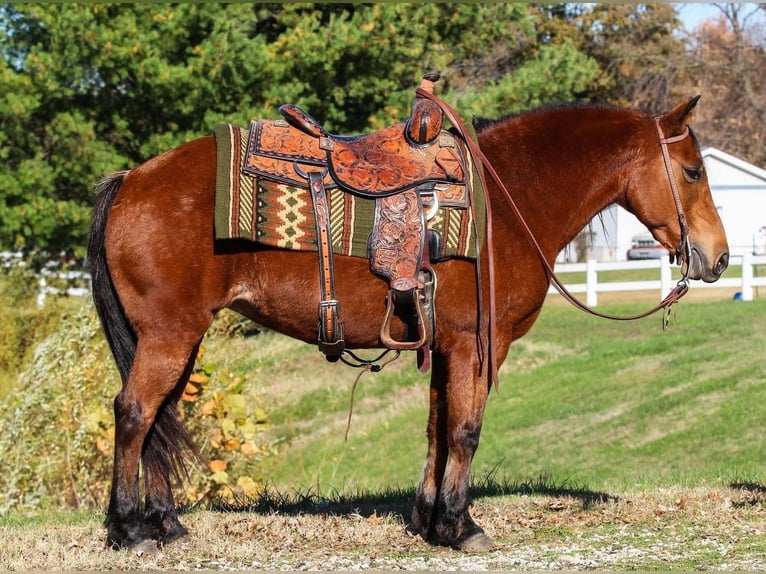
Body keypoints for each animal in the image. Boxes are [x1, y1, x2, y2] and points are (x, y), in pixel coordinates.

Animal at [87, 95, 729, 552]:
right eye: (693, 172)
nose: (719, 258)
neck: (507, 204)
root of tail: (130, 179)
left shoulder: (444, 347)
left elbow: (436, 429)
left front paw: (429, 521)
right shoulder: (476, 346)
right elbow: (465, 430)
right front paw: (462, 527)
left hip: (177, 340)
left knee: (160, 419)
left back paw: (167, 524)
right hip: (169, 338)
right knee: (134, 413)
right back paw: (130, 531)